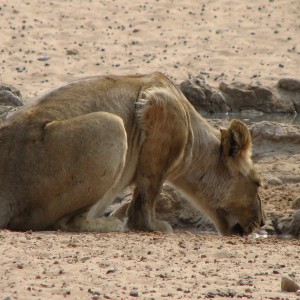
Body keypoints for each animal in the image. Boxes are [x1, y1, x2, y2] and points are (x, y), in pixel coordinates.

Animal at [0, 72, 266, 234]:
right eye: (257, 183)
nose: (262, 221)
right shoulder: (161, 108)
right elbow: (147, 195)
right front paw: (152, 226)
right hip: (112, 126)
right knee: (67, 222)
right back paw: (110, 223)